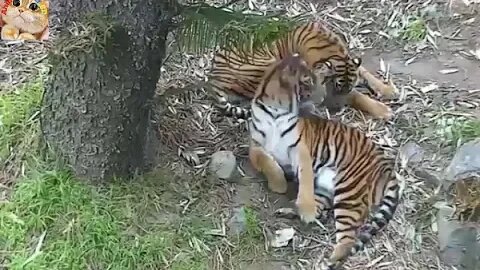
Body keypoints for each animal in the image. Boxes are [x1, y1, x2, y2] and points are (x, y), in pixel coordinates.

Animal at [208, 20, 396, 121]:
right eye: (337, 88)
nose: (338, 109)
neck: (334, 51)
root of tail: (212, 75)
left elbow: (366, 73)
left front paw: (388, 90)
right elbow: (357, 96)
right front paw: (383, 110)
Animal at [248, 53, 402, 268]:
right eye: (308, 81)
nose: (321, 99)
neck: (275, 110)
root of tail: (388, 168)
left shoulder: (300, 148)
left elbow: (305, 178)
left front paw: (305, 207)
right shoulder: (255, 144)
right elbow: (263, 159)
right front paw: (278, 183)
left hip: (348, 192)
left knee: (348, 239)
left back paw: (331, 260)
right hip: (327, 189)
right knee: (324, 212)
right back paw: (291, 212)